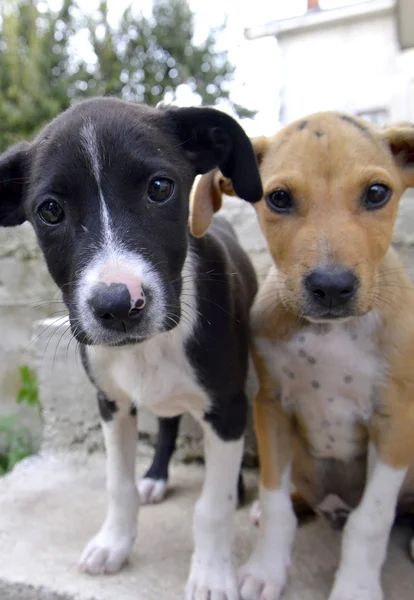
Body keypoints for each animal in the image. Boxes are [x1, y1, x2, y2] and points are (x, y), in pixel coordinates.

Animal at [0, 96, 260, 596]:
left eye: (160, 188)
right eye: (50, 210)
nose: (119, 306)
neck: (149, 346)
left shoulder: (227, 405)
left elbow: (212, 505)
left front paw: (211, 574)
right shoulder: (111, 403)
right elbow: (117, 486)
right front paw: (114, 544)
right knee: (168, 427)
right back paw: (155, 477)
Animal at [192, 113, 414, 600]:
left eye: (377, 193)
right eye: (279, 198)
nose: (331, 287)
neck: (330, 333)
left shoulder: (396, 420)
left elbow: (371, 521)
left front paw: (355, 587)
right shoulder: (271, 406)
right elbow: (275, 501)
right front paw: (266, 570)